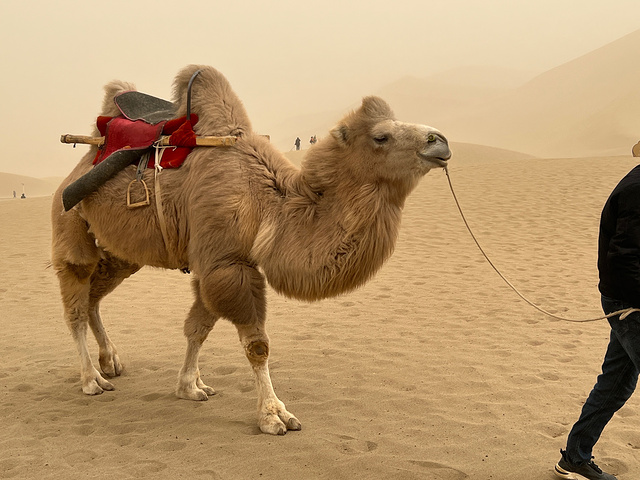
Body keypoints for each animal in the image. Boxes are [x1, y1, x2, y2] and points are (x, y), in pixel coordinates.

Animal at [51, 63, 450, 436]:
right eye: (381, 136)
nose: (440, 142)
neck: (270, 203)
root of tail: (80, 163)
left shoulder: (215, 266)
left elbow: (198, 327)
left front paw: (190, 386)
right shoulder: (226, 264)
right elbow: (257, 345)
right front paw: (274, 415)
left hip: (121, 254)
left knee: (94, 296)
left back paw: (111, 361)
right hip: (68, 220)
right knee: (76, 298)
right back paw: (91, 379)